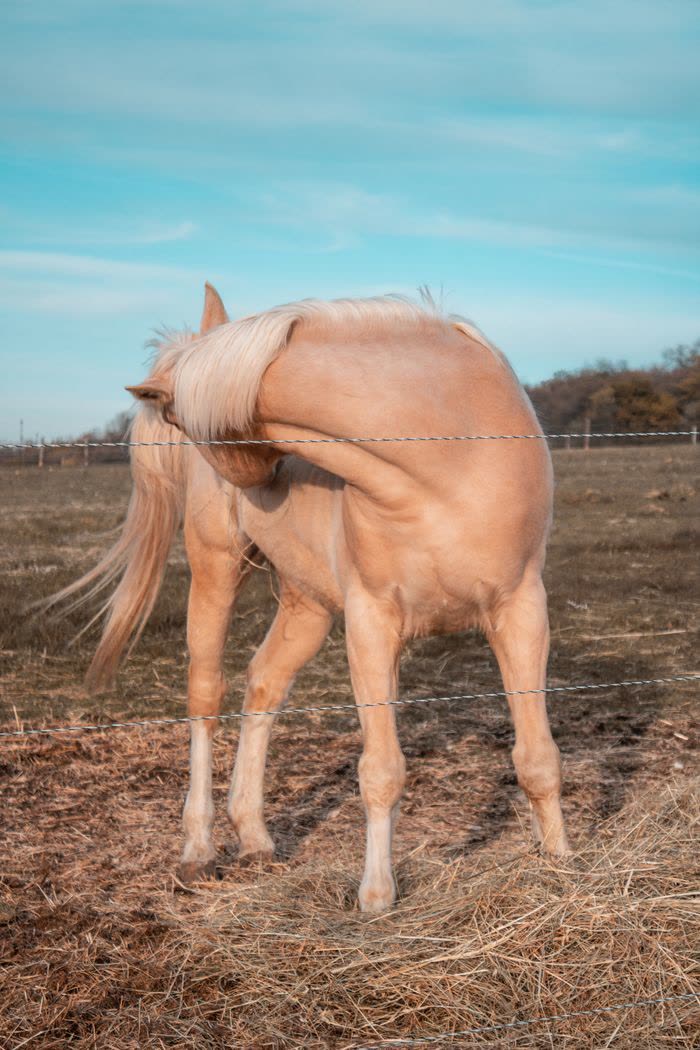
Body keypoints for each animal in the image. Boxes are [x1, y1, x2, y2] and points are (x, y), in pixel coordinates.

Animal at [50, 283, 568, 912]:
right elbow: (382, 770)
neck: (449, 458)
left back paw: (254, 838)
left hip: (308, 603)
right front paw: (376, 897)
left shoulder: (521, 611)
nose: (266, 485)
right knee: (206, 697)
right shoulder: (372, 622)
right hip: (216, 567)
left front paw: (562, 867)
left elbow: (537, 758)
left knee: (264, 685)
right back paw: (198, 849)